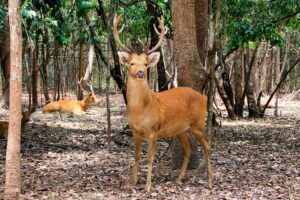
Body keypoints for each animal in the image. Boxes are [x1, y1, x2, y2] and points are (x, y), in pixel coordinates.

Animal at [113, 14, 212, 191]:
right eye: (131, 63)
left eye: (146, 64)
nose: (140, 72)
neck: (140, 110)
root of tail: (203, 97)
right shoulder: (134, 131)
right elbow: (136, 156)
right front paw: (132, 182)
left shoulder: (154, 130)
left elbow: (150, 157)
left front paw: (147, 186)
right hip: (180, 129)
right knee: (189, 149)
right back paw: (179, 179)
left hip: (199, 123)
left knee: (207, 147)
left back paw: (209, 180)